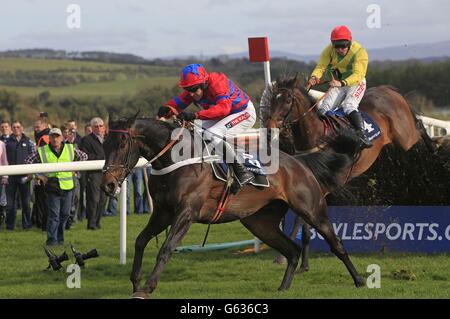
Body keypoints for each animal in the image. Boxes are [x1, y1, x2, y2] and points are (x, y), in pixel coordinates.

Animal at [99, 114, 366, 298]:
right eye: (104, 144)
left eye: (122, 144)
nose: (108, 185)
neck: (176, 159)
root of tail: (299, 162)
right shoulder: (163, 212)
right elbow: (140, 241)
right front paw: (135, 281)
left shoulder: (187, 212)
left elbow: (166, 248)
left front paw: (147, 286)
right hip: (260, 222)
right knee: (292, 251)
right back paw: (283, 288)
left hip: (311, 209)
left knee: (335, 244)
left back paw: (360, 281)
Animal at [264, 75, 436, 270]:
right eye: (272, 100)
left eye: (287, 101)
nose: (269, 127)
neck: (318, 136)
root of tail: (388, 90)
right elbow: (306, 225)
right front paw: (304, 264)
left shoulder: (324, 186)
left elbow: (302, 220)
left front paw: (282, 257)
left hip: (404, 137)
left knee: (419, 126)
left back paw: (433, 147)